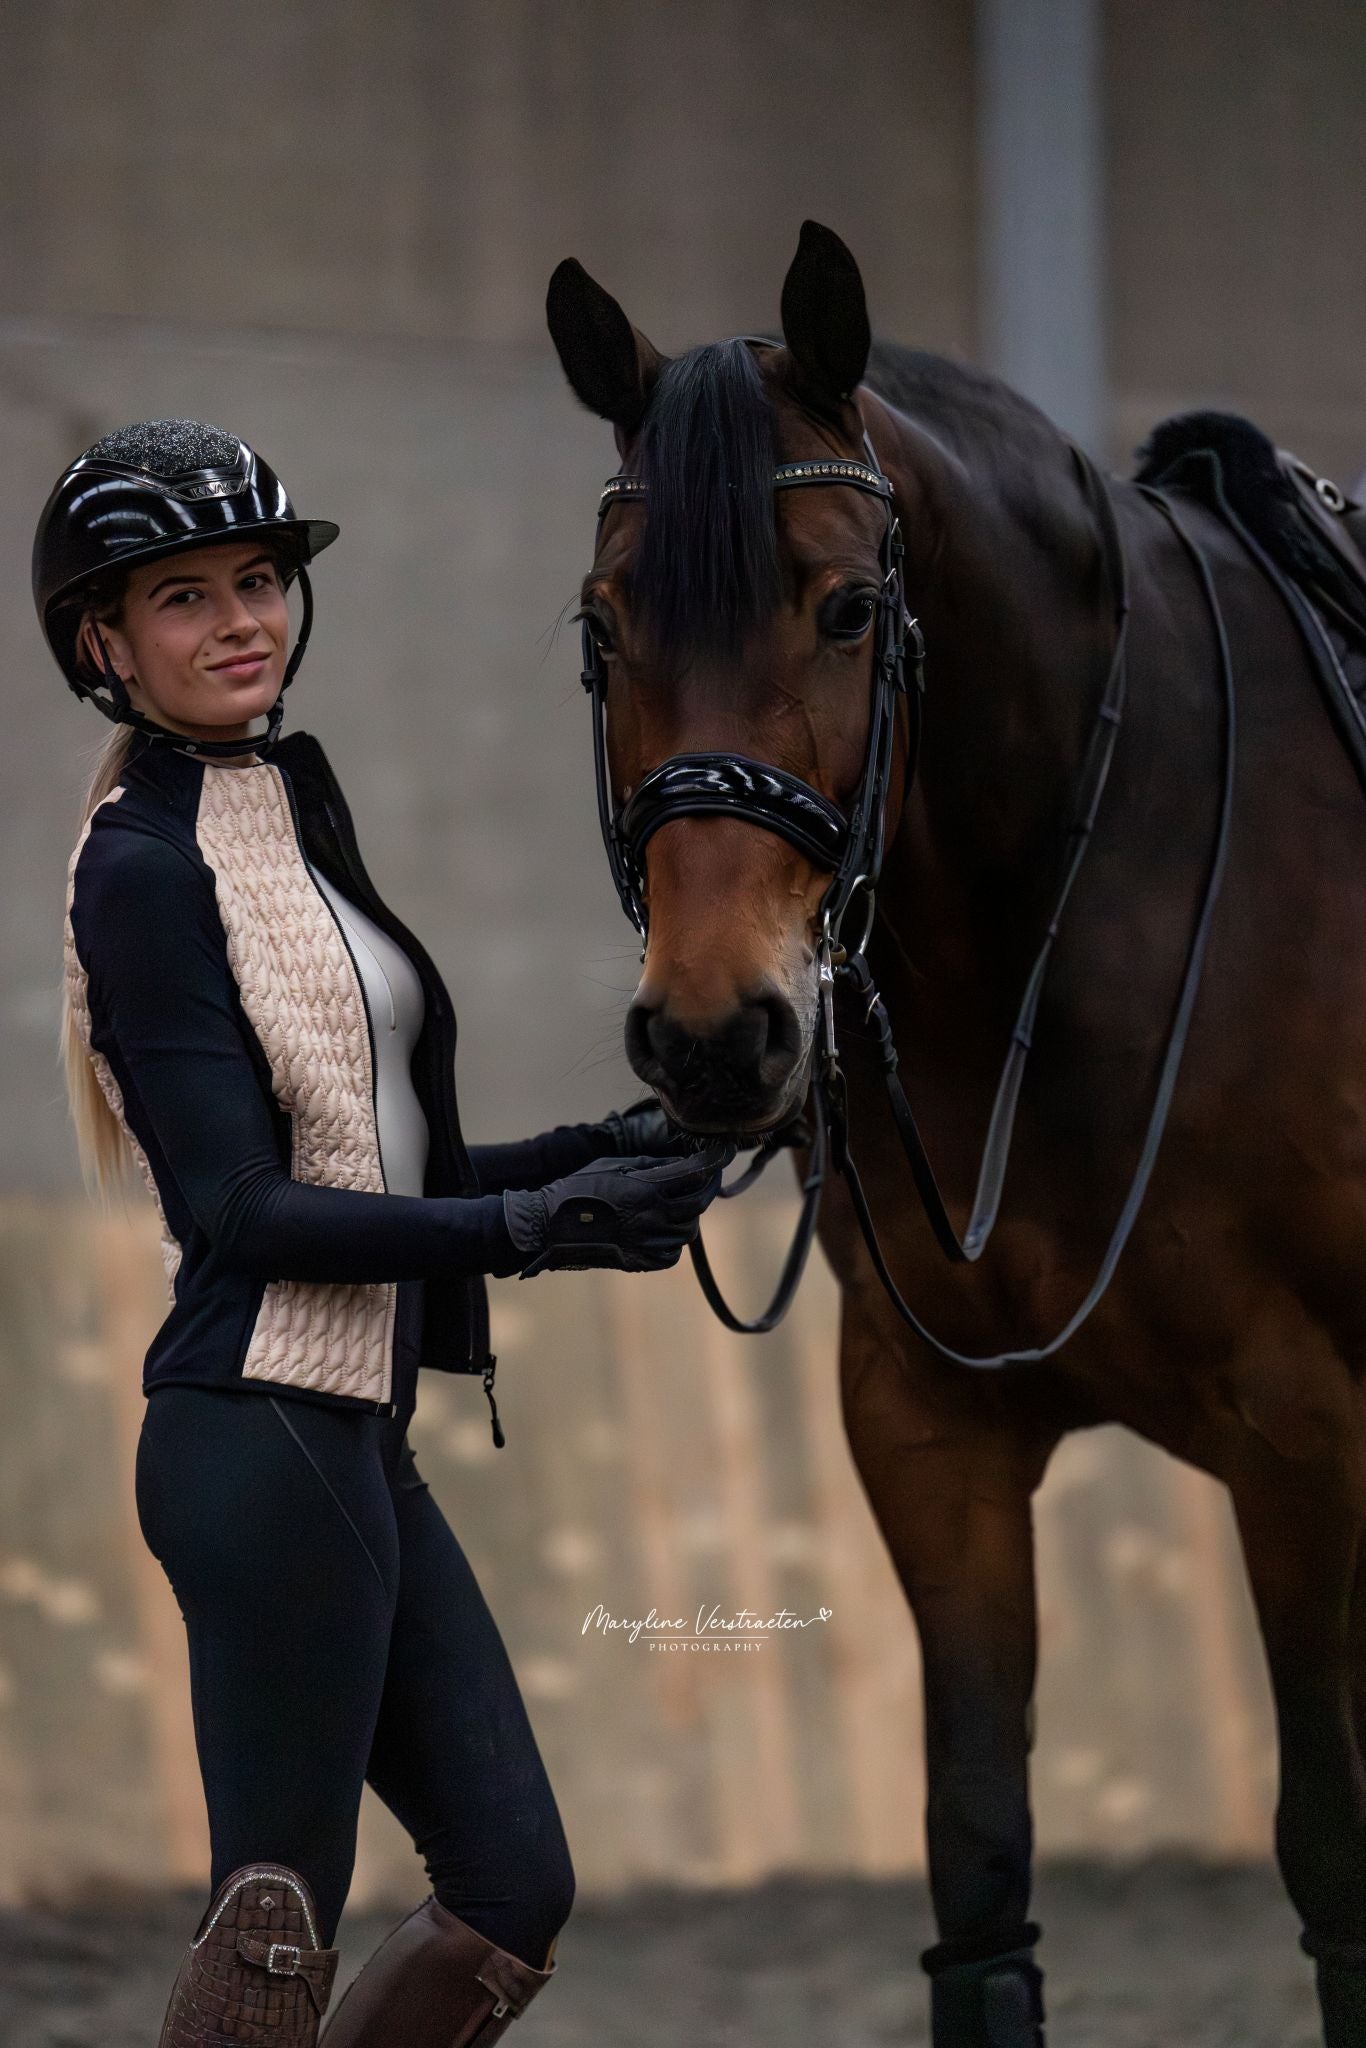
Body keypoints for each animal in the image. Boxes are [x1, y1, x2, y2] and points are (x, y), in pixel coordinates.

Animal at [545, 219, 1366, 2048]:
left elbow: (1335, 1857)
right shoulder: (927, 1429)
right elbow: (979, 1860)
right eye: (603, 622)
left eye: (849, 607)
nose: (713, 1033)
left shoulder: (1308, 1433)